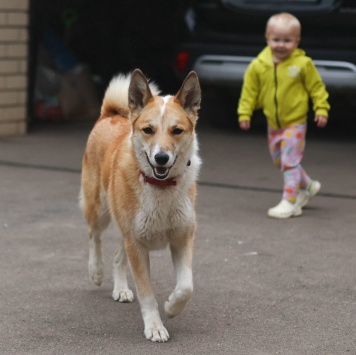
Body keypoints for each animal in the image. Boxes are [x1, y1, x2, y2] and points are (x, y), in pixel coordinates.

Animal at [80, 68, 202, 344]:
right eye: (148, 129)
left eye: (177, 130)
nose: (161, 158)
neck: (161, 187)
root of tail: (110, 115)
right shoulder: (136, 244)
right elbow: (147, 294)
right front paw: (155, 326)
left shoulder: (181, 238)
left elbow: (186, 287)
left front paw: (171, 307)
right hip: (101, 211)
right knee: (93, 235)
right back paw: (95, 271)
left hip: (129, 231)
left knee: (117, 257)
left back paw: (121, 289)